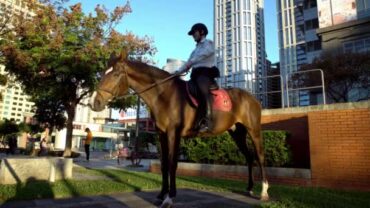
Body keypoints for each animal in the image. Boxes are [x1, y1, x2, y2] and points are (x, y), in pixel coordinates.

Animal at [89, 51, 268, 207]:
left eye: (115, 74)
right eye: (104, 72)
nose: (94, 102)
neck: (164, 95)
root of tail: (253, 98)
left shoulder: (173, 134)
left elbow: (173, 164)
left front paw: (169, 197)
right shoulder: (162, 135)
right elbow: (164, 165)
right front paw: (161, 195)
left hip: (254, 131)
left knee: (259, 157)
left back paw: (264, 192)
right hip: (237, 133)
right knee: (249, 157)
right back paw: (249, 189)